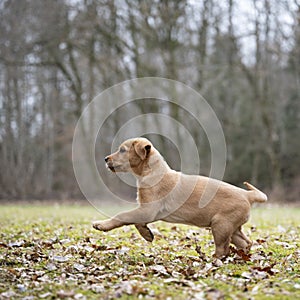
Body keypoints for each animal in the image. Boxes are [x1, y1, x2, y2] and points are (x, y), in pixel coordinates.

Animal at [94, 138, 268, 258]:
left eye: (122, 150)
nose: (105, 159)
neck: (152, 172)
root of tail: (246, 194)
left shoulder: (148, 209)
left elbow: (122, 215)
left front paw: (102, 225)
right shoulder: (146, 210)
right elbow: (136, 222)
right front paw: (146, 234)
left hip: (220, 225)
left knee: (222, 249)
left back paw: (214, 260)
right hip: (232, 228)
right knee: (246, 242)